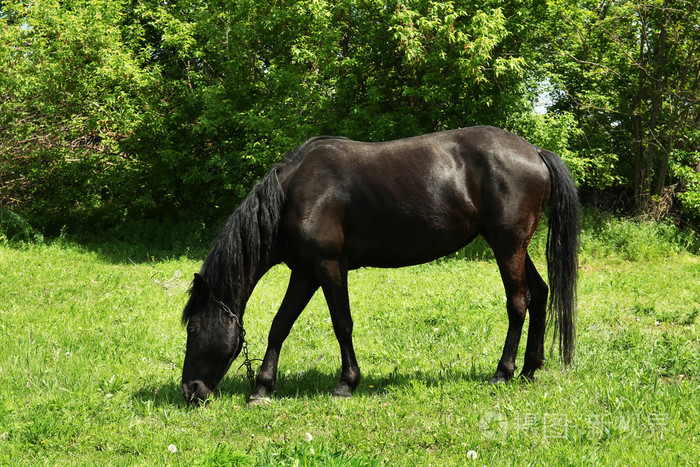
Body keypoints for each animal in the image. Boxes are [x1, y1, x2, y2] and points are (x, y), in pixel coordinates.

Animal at [180, 125, 580, 406]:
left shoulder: (328, 267)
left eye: (194, 328)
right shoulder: (305, 272)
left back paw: (503, 372)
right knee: (540, 294)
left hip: (507, 245)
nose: (190, 390)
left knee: (518, 303)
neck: (293, 195)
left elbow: (342, 324)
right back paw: (529, 368)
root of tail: (535, 152)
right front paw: (262, 388)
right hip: (514, 246)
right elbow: (280, 326)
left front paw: (346, 383)